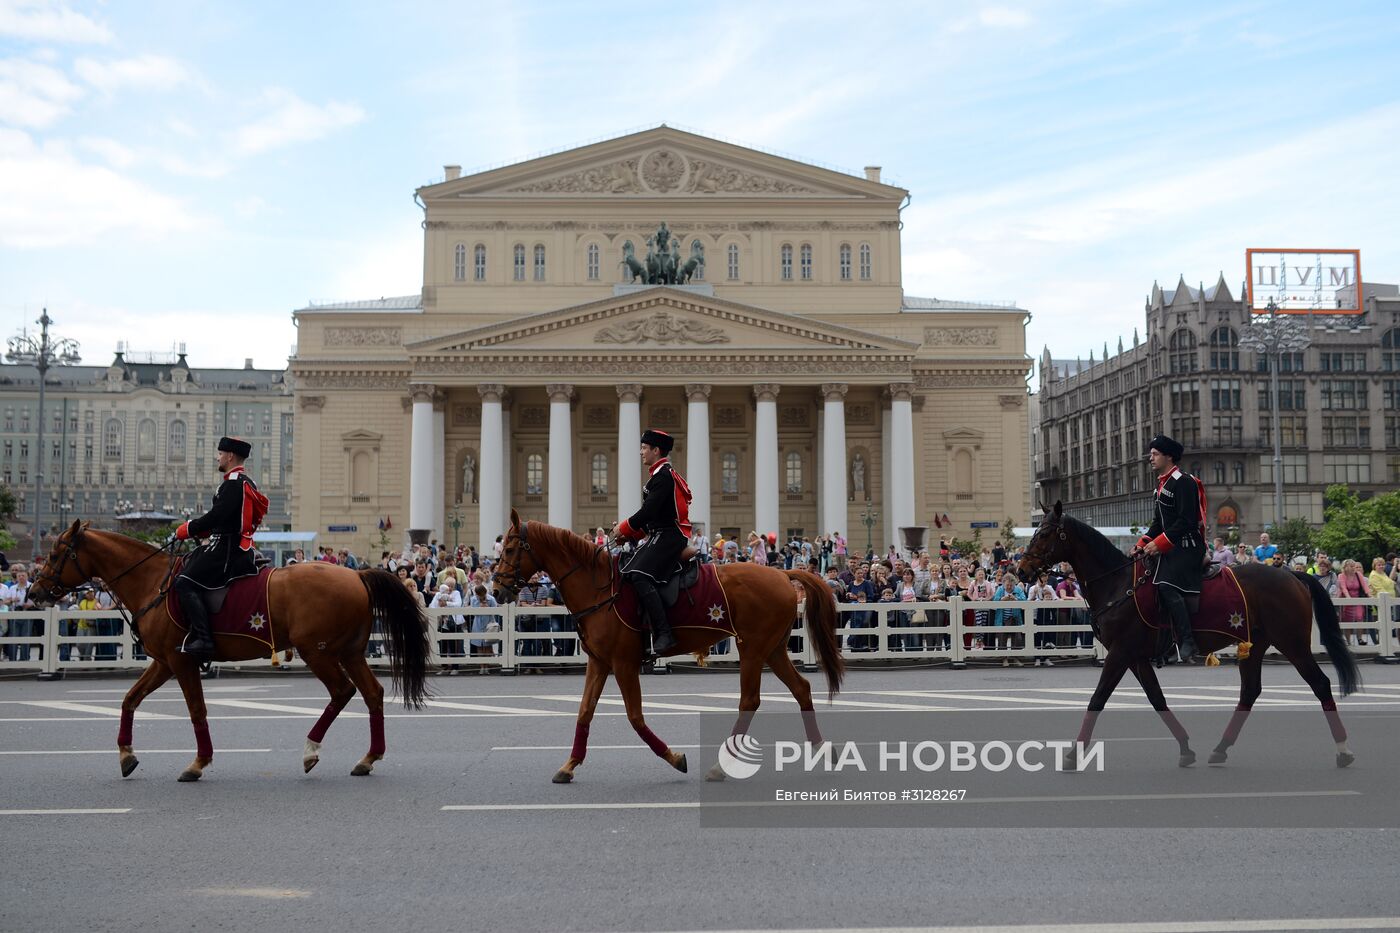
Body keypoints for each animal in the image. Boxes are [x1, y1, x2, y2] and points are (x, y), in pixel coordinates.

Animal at [28, 518, 431, 778]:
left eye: (56, 554)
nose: (34, 593)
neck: (153, 582)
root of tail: (357, 574)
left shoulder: (181, 661)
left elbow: (196, 710)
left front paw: (198, 762)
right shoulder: (163, 662)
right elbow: (130, 700)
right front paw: (127, 754)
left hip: (317, 652)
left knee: (342, 691)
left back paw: (311, 750)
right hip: (348, 652)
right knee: (372, 694)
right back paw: (368, 757)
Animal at [492, 504, 840, 778]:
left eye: (509, 549)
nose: (497, 590)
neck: (599, 587)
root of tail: (782, 574)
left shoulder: (624, 664)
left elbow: (635, 717)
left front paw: (674, 757)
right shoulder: (599, 662)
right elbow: (584, 712)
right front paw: (570, 764)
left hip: (752, 649)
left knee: (750, 701)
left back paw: (722, 765)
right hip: (773, 649)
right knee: (800, 689)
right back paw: (822, 750)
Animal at [1019, 498, 1355, 767]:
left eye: (1045, 534)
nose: (1022, 570)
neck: (1118, 583)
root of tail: (1293, 575)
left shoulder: (1120, 653)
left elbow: (1098, 699)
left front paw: (1073, 755)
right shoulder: (1135, 657)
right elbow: (1157, 699)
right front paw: (1184, 747)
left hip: (1292, 643)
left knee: (1320, 685)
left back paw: (1343, 750)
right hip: (1255, 645)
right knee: (1249, 692)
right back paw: (1220, 749)